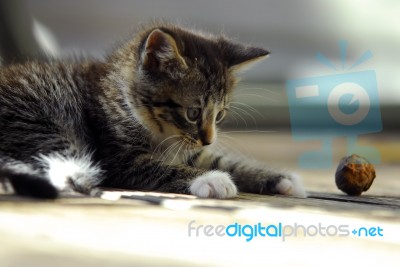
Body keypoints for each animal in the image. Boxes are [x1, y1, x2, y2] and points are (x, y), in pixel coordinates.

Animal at [0, 22, 306, 199]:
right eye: (193, 113)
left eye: (219, 115)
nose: (208, 139)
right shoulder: (119, 157)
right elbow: (159, 167)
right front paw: (211, 179)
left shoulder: (191, 149)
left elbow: (221, 160)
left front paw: (281, 179)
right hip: (41, 115)